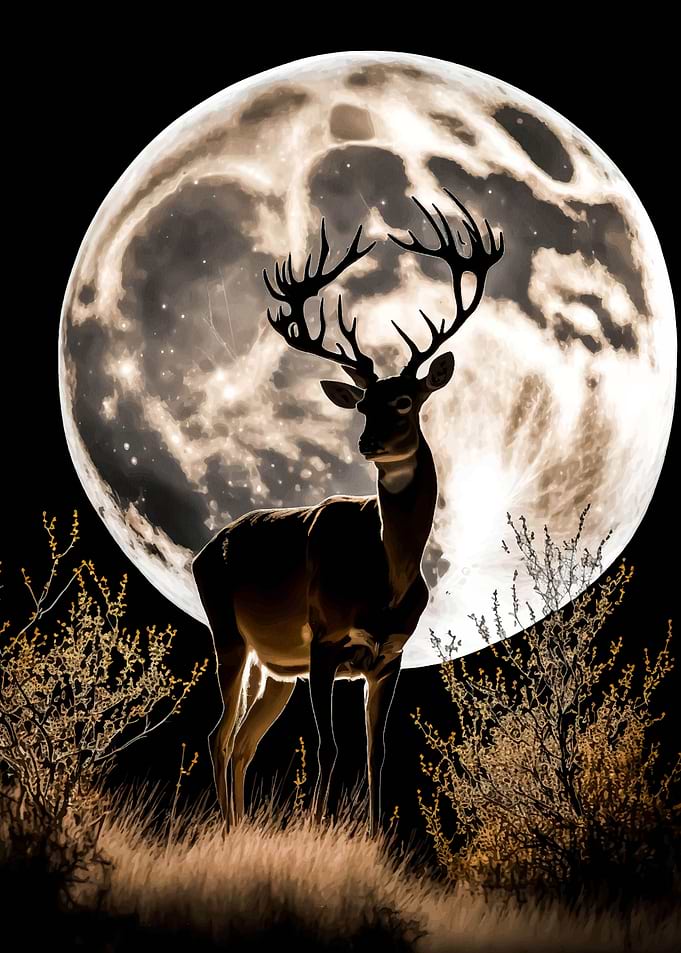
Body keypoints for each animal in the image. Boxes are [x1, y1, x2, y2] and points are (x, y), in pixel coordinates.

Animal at [192, 189, 504, 833]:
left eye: (405, 399)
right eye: (362, 404)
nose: (367, 442)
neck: (387, 580)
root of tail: (204, 550)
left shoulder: (389, 657)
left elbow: (375, 750)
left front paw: (378, 838)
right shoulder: (325, 641)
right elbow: (329, 747)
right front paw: (318, 827)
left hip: (275, 668)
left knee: (244, 741)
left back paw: (240, 826)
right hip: (228, 632)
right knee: (218, 736)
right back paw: (228, 828)